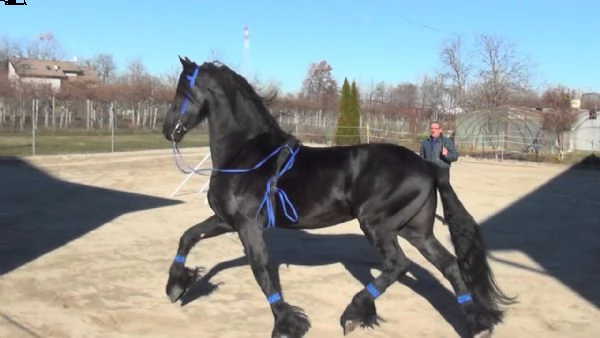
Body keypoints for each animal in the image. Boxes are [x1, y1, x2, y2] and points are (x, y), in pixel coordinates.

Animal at [161, 56, 516, 336]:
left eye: (181, 91)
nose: (167, 129)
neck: (248, 154)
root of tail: (427, 165)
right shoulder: (226, 220)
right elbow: (188, 237)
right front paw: (177, 285)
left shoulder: (248, 226)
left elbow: (261, 272)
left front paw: (288, 324)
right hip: (416, 230)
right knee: (450, 266)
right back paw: (477, 325)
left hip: (377, 225)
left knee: (398, 265)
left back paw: (354, 313)